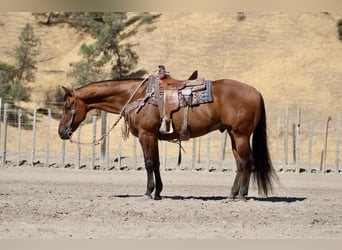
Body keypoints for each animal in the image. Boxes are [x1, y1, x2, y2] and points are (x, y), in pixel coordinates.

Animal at [58, 69, 278, 201]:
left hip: (241, 135)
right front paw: (158, 192)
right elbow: (156, 163)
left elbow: (148, 163)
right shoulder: (153, 137)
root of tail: (256, 92)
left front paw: (148, 192)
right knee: (241, 163)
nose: (62, 132)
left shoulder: (146, 135)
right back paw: (233, 194)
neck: (138, 96)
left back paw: (240, 196)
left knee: (247, 162)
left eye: (68, 107)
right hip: (233, 135)